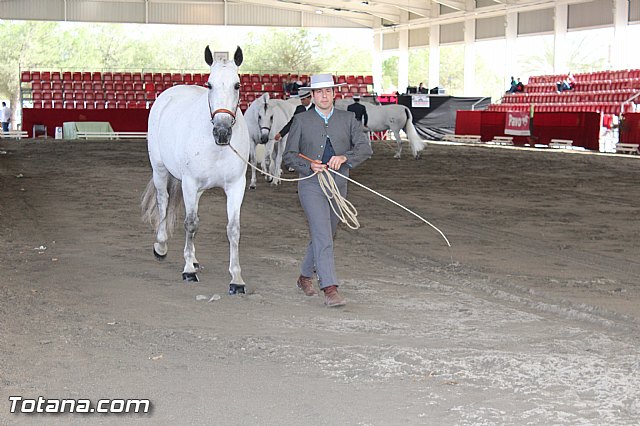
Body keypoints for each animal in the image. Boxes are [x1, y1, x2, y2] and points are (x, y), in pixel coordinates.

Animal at [141, 45, 250, 295]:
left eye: (237, 85)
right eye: (209, 84)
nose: (222, 131)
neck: (216, 147)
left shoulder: (236, 186)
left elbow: (233, 230)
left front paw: (236, 279)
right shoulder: (190, 182)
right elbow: (190, 223)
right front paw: (188, 270)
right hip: (160, 170)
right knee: (163, 201)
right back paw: (161, 246)